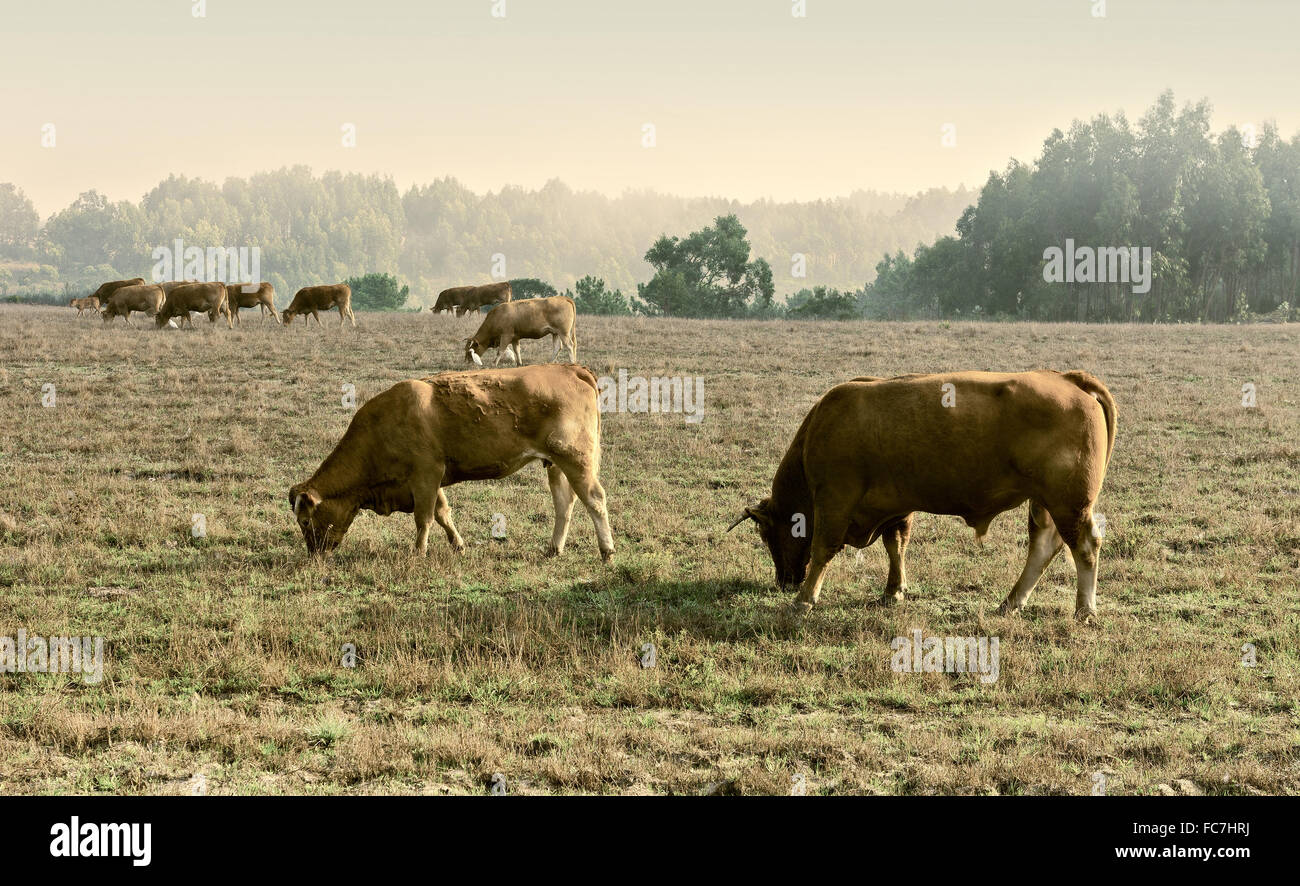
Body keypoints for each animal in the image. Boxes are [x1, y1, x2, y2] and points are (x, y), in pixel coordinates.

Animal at [288, 363, 615, 562]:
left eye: (305, 521)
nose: (314, 555)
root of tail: (570, 369)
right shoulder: (432, 477)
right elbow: (443, 513)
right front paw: (458, 544)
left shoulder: (426, 474)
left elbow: (424, 517)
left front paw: (418, 552)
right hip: (556, 463)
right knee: (564, 504)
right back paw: (553, 548)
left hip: (576, 460)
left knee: (595, 499)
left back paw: (607, 550)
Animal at [729, 370, 1117, 622]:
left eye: (767, 535)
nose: (783, 581)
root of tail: (1067, 379)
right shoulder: (895, 506)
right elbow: (896, 546)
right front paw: (893, 591)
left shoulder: (834, 499)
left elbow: (823, 548)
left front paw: (804, 599)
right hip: (1046, 503)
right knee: (1044, 547)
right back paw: (1011, 602)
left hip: (1069, 504)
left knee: (1084, 546)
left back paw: (1085, 610)